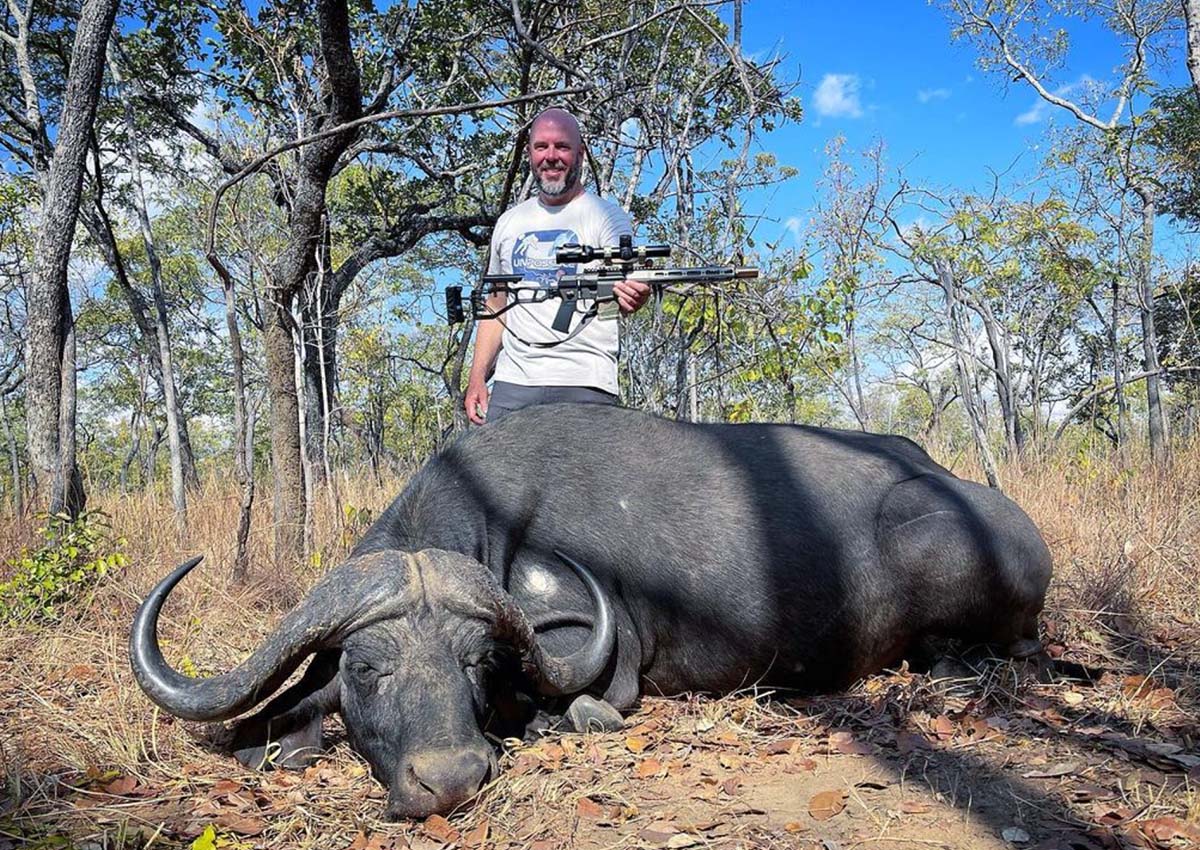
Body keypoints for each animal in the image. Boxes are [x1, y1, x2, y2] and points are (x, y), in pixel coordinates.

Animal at [129, 403, 1051, 816]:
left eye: (477, 662)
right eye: (364, 668)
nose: (449, 780)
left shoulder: (607, 665)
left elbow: (576, 705)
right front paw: (279, 743)